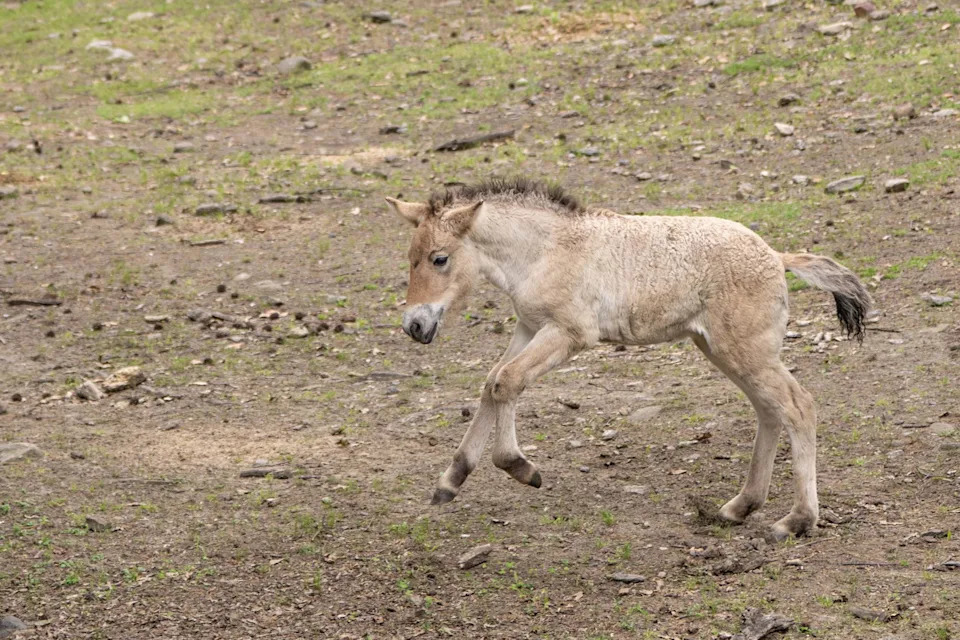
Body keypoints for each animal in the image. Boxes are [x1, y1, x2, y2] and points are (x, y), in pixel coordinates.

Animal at [386, 177, 870, 540]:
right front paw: (451, 481)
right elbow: (494, 382)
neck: (546, 249)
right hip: (723, 350)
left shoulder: (569, 333)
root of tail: (776, 255)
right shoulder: (528, 326)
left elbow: (507, 382)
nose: (415, 325)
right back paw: (739, 507)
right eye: (409, 259)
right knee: (770, 412)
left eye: (439, 258)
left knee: (798, 406)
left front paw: (520, 468)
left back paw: (796, 520)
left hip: (744, 351)